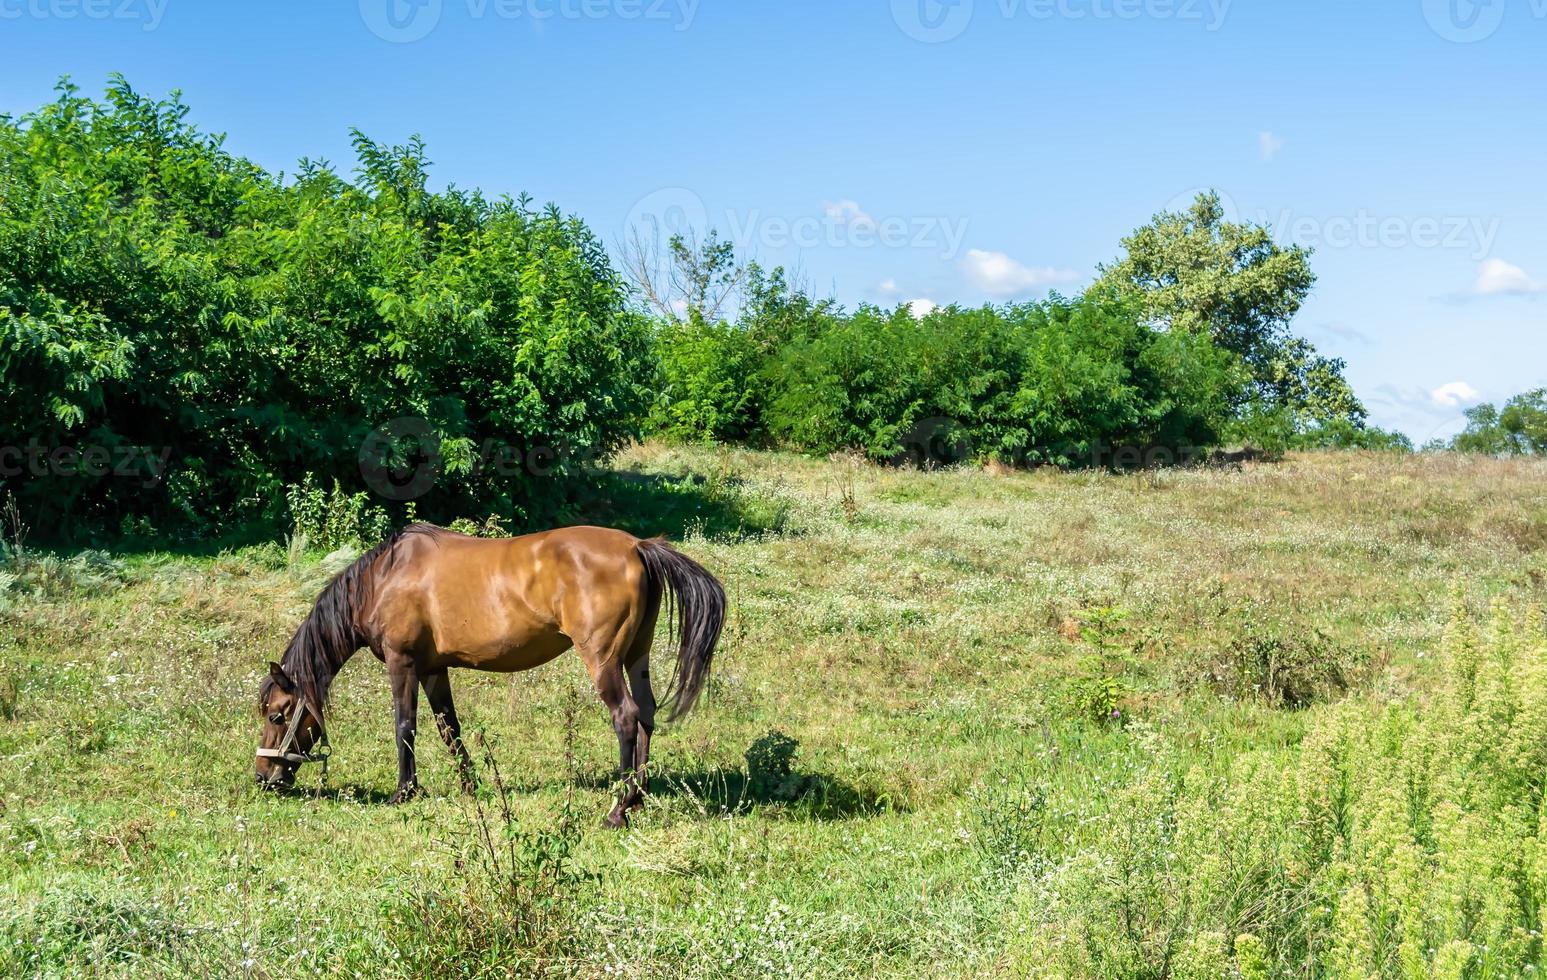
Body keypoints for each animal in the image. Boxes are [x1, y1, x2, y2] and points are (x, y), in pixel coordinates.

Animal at [255, 523, 723, 823]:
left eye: (278, 714)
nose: (263, 777)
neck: (384, 578)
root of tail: (638, 546)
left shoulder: (402, 663)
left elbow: (404, 725)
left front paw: (404, 792)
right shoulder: (433, 669)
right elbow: (450, 729)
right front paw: (470, 785)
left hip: (603, 660)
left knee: (626, 718)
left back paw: (618, 809)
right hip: (635, 656)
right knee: (646, 716)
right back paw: (637, 799)